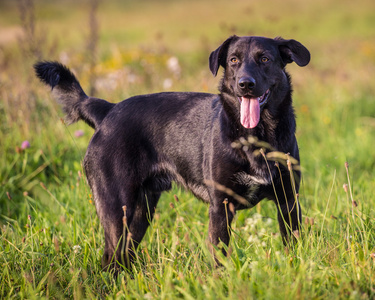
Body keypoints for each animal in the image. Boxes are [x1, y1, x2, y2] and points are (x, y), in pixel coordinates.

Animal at [34, 35, 312, 270]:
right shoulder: (221, 207)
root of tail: (107, 110)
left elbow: (293, 247)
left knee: (126, 253)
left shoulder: (288, 201)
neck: (257, 135)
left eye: (264, 59)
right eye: (234, 60)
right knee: (110, 257)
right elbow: (220, 258)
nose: (245, 84)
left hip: (142, 210)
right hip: (115, 207)